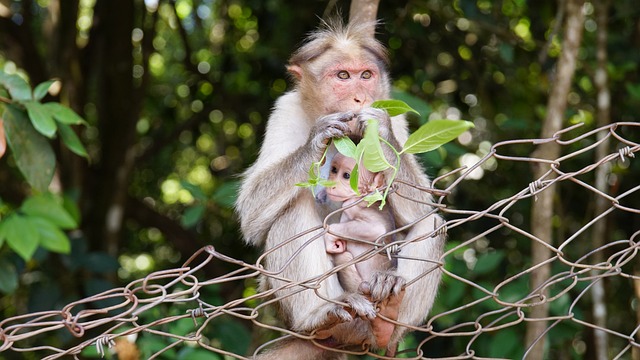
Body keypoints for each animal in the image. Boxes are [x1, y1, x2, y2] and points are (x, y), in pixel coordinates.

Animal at [236, 17, 444, 358]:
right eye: (343, 76)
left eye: (366, 75)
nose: (360, 98)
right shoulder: (284, 110)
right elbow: (251, 214)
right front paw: (318, 138)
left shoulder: (395, 114)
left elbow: (420, 210)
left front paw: (378, 128)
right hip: (288, 310)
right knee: (293, 210)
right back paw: (319, 317)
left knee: (431, 222)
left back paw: (387, 322)